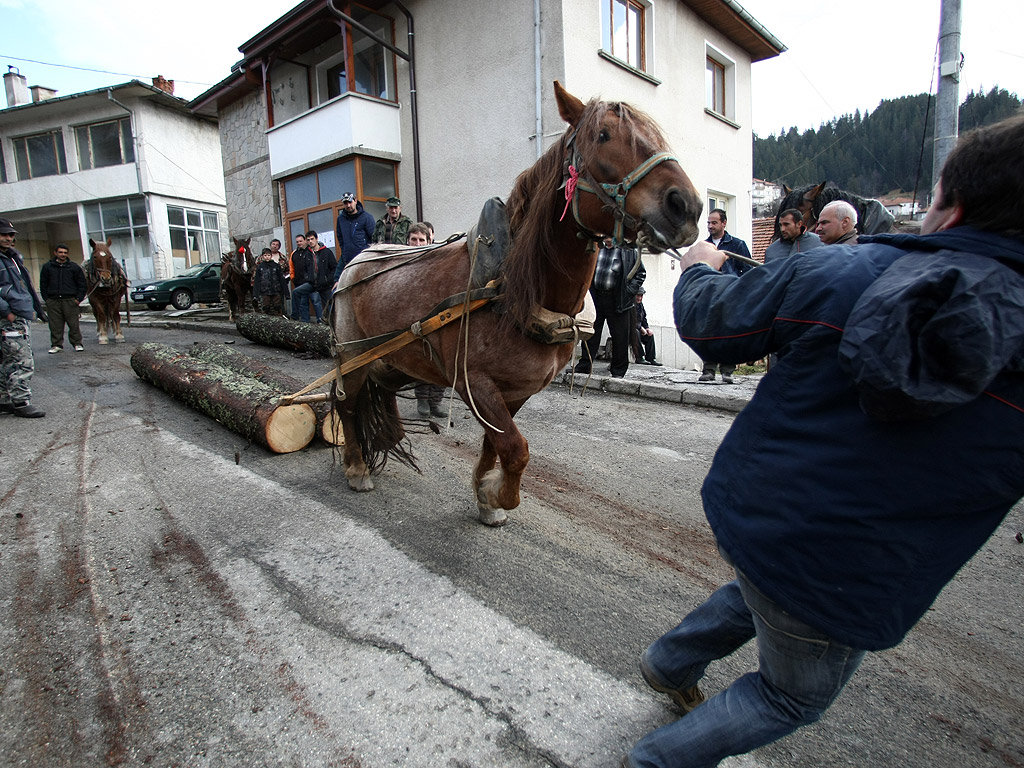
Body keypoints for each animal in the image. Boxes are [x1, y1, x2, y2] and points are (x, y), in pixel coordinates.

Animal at [327, 81, 704, 528]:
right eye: (603, 135)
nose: (686, 206)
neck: (512, 291)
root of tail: (355, 261)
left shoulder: (516, 390)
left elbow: (497, 444)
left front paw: (485, 495)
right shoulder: (475, 383)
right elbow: (516, 449)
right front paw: (496, 494)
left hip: (398, 358)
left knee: (380, 390)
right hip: (354, 355)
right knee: (348, 404)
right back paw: (356, 468)